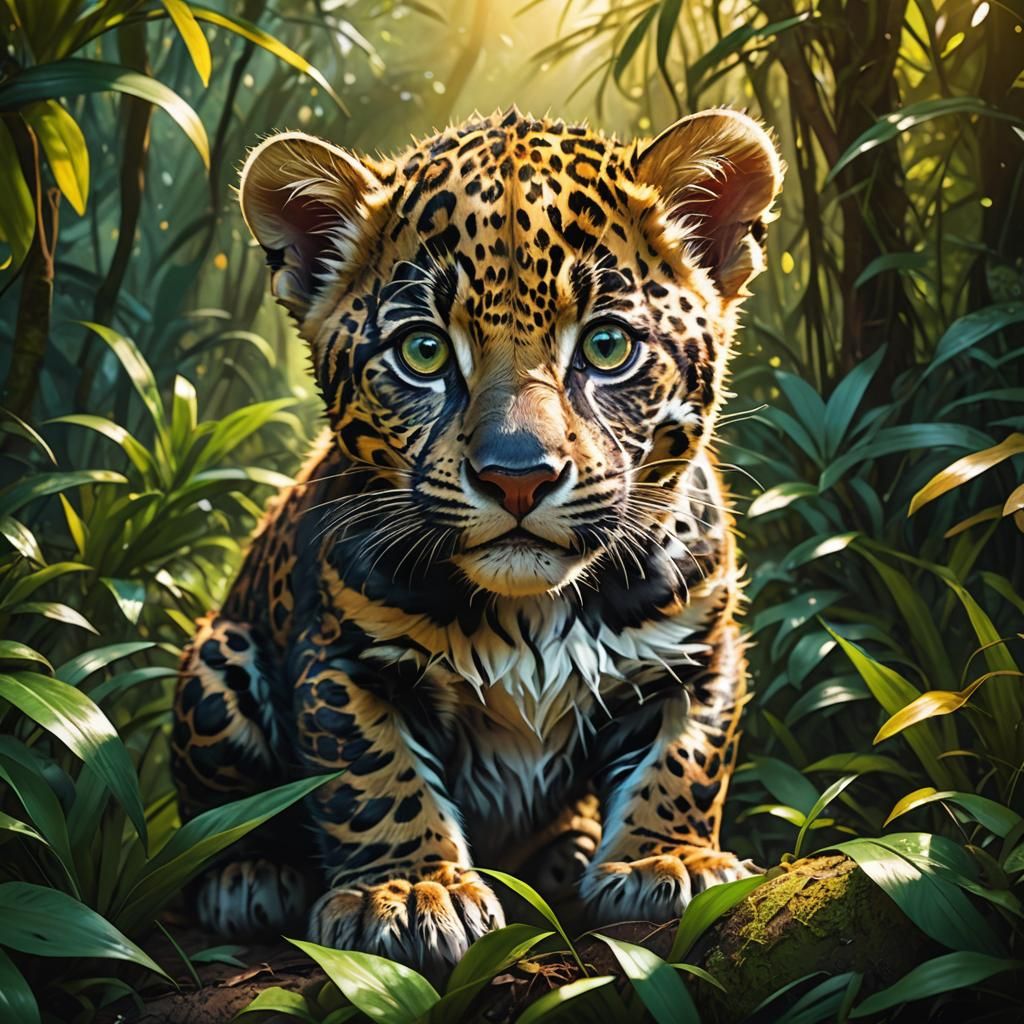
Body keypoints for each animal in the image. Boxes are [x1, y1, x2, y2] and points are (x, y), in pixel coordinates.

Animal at [171, 105, 783, 976]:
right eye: (423, 351)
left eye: (606, 346)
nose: (518, 477)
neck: (533, 611)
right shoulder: (344, 660)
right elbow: (373, 778)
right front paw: (408, 891)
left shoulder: (697, 651)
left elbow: (687, 758)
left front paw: (669, 859)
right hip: (218, 662)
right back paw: (248, 877)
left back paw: (571, 849)